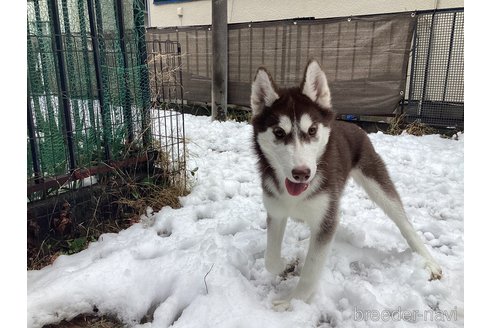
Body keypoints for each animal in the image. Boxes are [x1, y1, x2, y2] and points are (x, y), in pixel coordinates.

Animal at [250, 59, 442, 310]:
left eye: (312, 130)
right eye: (279, 132)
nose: (301, 174)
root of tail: (352, 125)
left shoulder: (325, 219)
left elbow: (311, 269)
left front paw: (294, 302)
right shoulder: (276, 211)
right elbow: (270, 259)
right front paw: (286, 263)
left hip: (376, 181)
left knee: (403, 221)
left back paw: (428, 261)